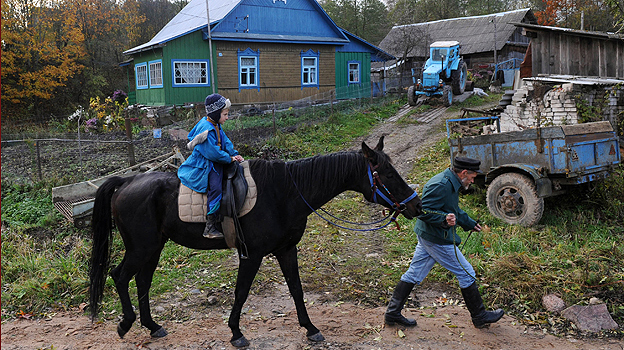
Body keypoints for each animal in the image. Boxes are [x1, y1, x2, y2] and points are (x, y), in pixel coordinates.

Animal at [90, 135, 422, 346]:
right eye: (387, 174)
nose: (416, 206)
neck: (285, 192)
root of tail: (127, 181)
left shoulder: (286, 250)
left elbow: (297, 290)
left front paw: (310, 328)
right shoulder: (252, 254)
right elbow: (241, 293)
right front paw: (236, 333)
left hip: (154, 247)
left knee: (142, 281)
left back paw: (152, 326)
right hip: (141, 247)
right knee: (119, 276)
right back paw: (126, 323)